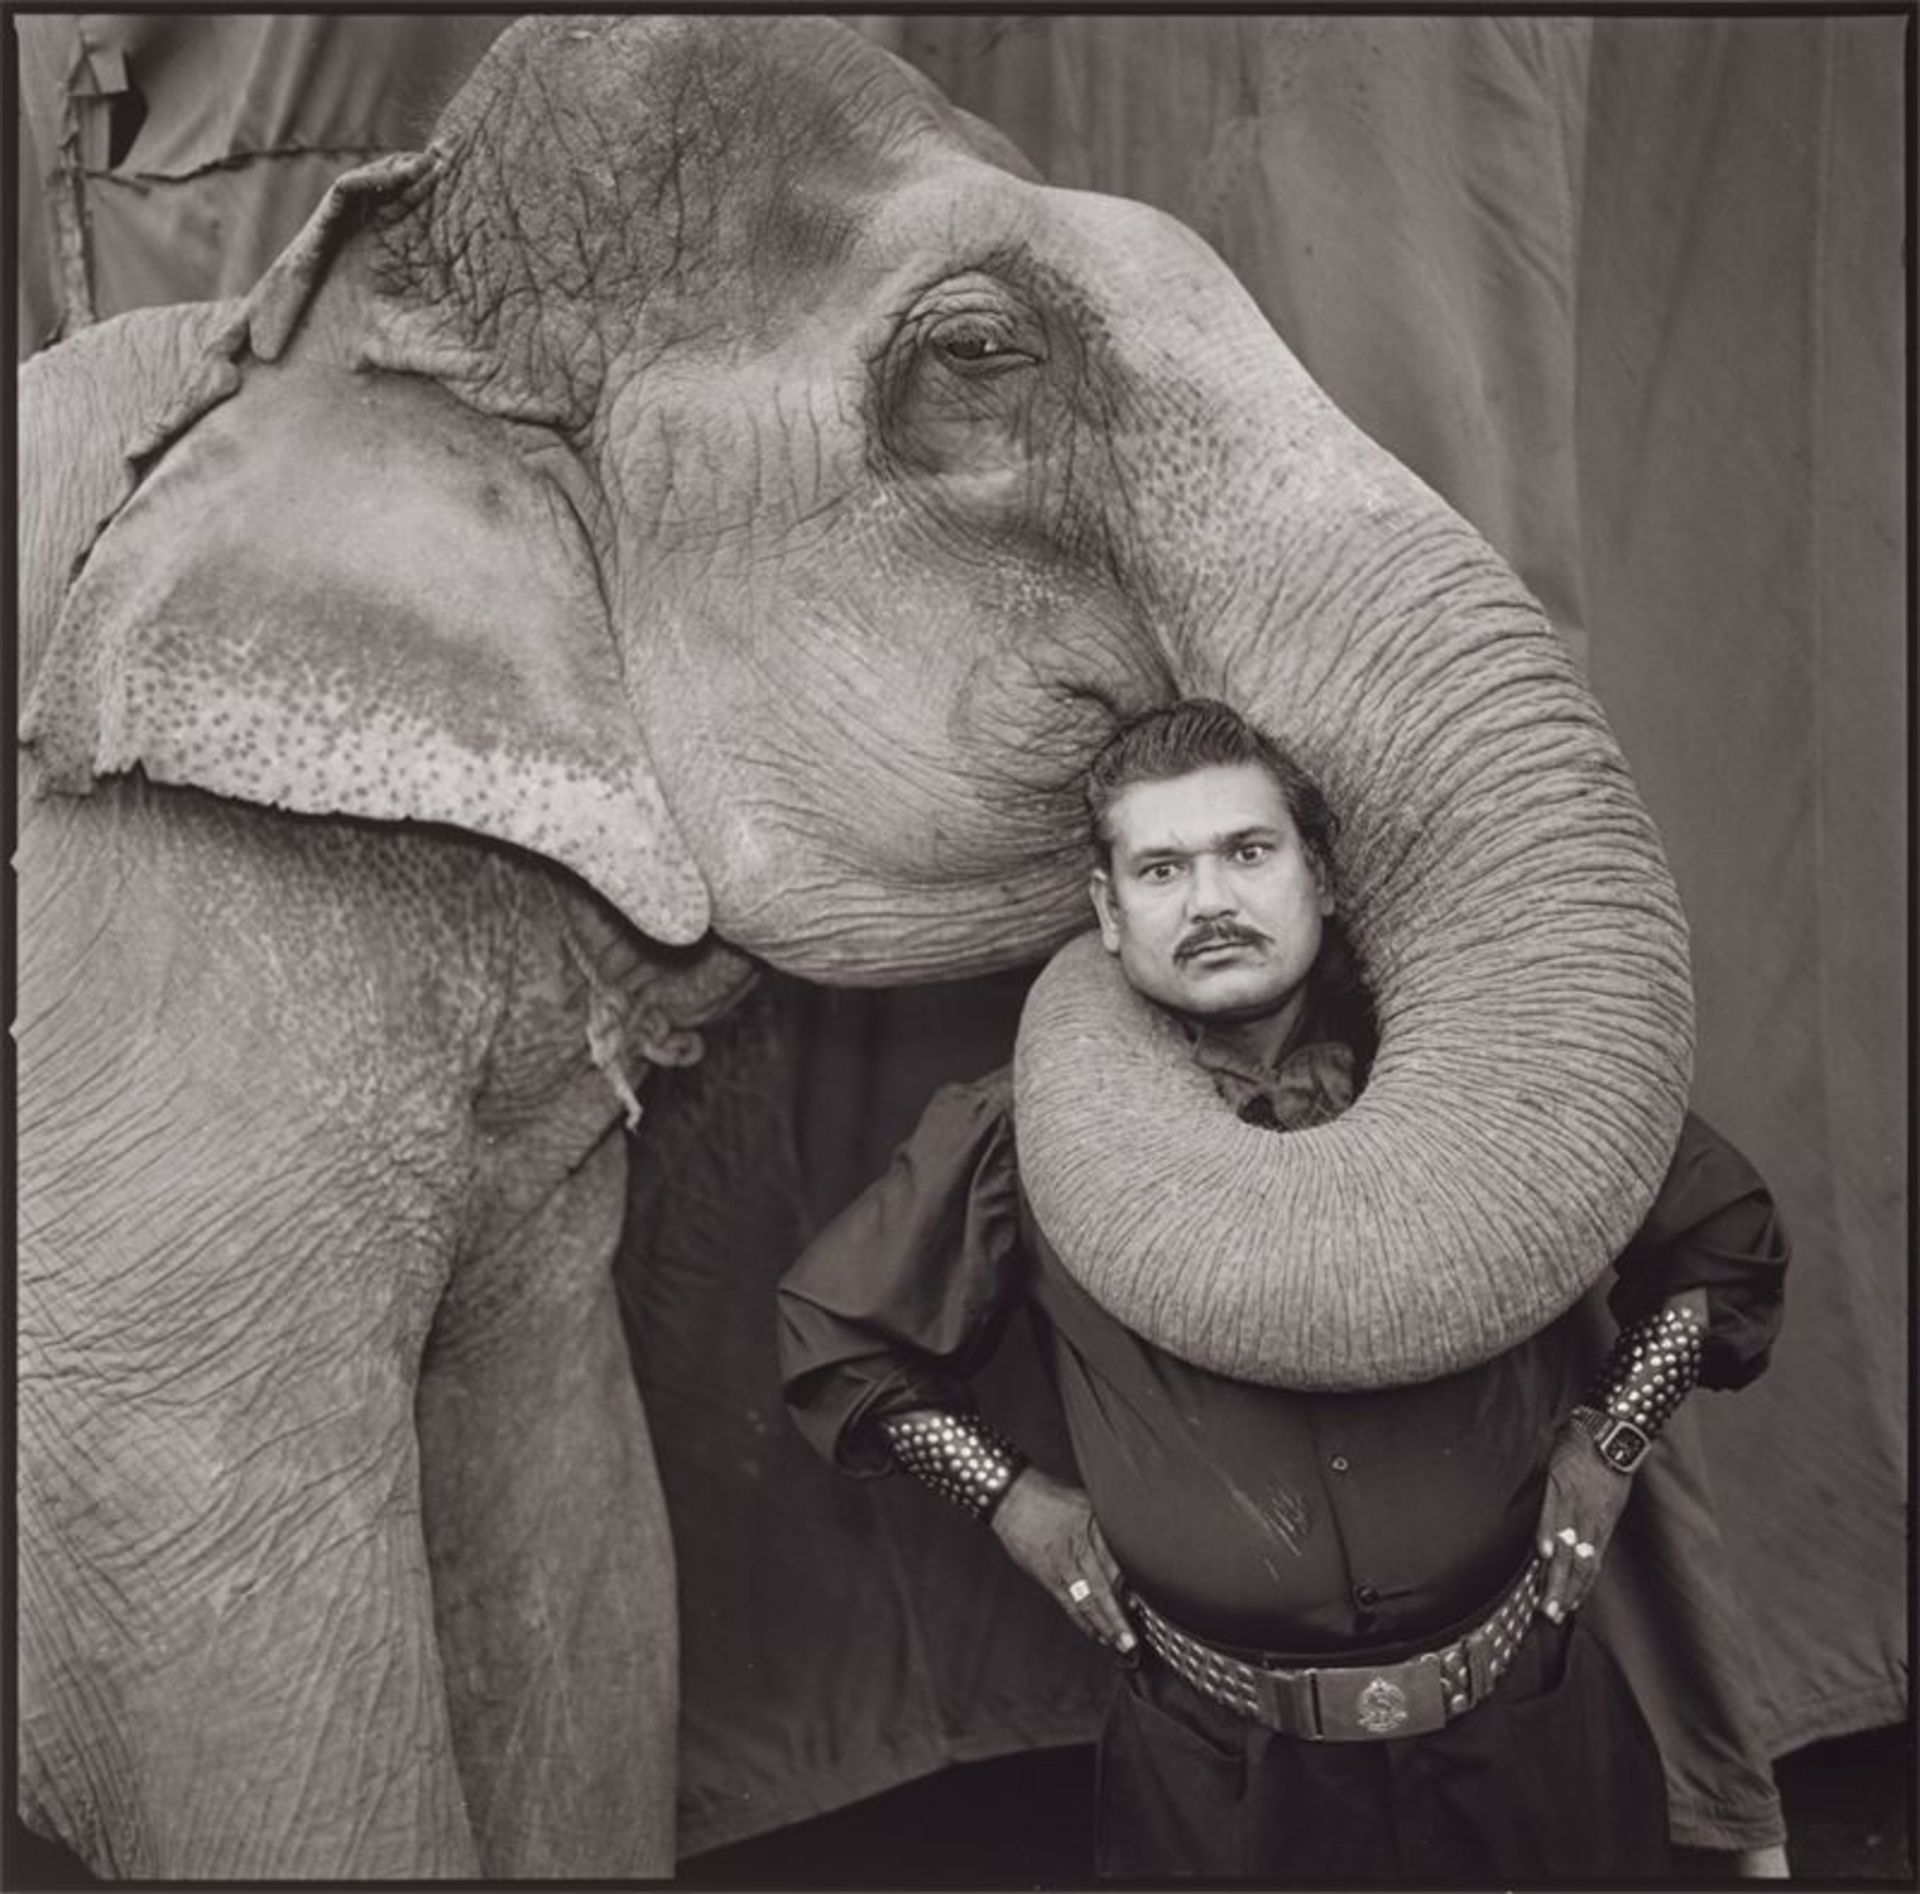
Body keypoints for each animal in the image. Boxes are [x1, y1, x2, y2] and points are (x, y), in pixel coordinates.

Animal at [22, 11, 1689, 1874]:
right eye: (978, 351)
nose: (1179, 910)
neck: (300, 332)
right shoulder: (152, 1020)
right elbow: (230, 1693)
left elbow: (583, 1551)